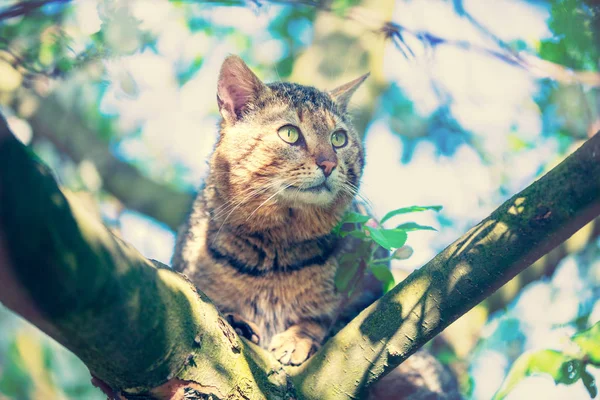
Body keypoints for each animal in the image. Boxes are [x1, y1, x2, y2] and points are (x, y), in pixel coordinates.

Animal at [171, 54, 462, 398]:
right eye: (289, 134)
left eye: (339, 138)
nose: (328, 163)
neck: (276, 247)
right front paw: (237, 320)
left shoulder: (369, 289)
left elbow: (328, 319)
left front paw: (297, 337)